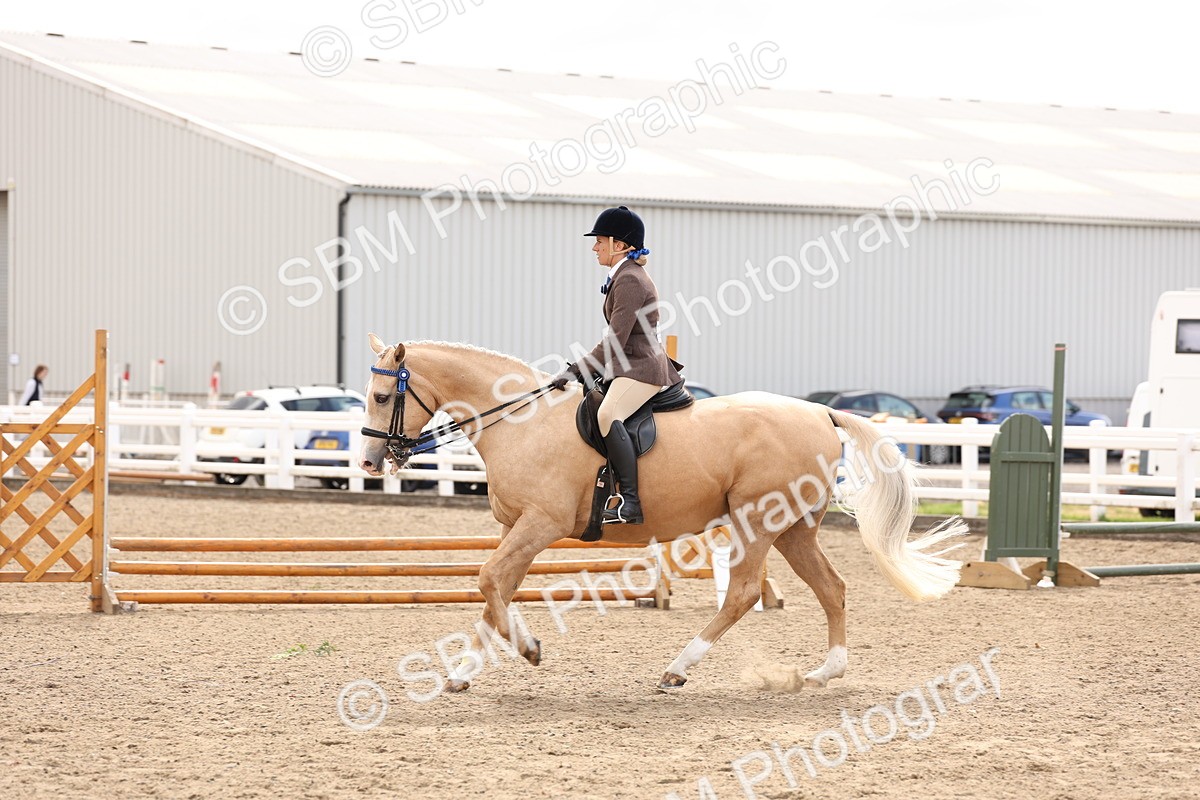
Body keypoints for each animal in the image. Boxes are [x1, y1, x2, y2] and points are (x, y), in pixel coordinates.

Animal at [358, 335, 966, 692]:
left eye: (384, 398)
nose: (368, 462)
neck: (519, 421)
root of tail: (820, 412)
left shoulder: (540, 525)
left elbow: (489, 580)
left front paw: (524, 651)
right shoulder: (515, 527)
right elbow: (494, 590)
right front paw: (470, 671)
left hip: (757, 521)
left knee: (744, 592)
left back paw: (677, 669)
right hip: (792, 528)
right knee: (831, 588)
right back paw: (826, 670)